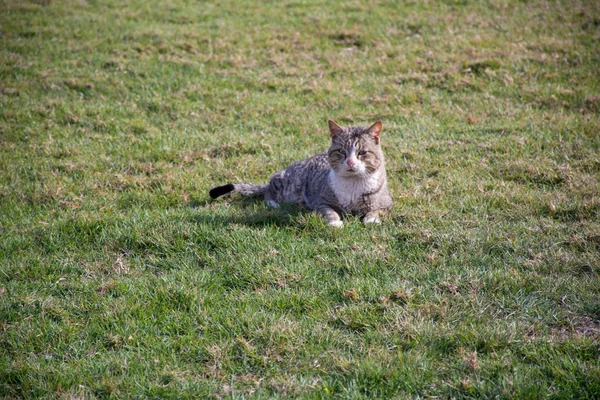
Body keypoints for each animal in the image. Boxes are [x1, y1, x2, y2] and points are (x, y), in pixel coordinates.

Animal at [210, 119, 394, 227]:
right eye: (342, 152)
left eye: (362, 153)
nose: (350, 162)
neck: (353, 184)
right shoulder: (322, 203)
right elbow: (330, 212)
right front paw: (335, 223)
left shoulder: (387, 204)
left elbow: (375, 209)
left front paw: (371, 219)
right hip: (289, 186)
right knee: (269, 188)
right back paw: (274, 204)